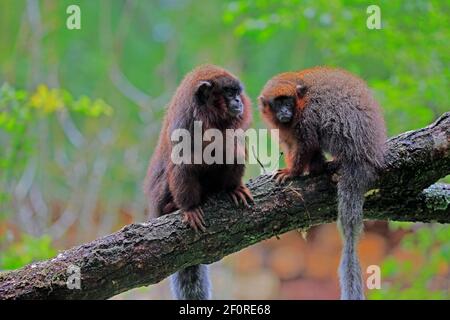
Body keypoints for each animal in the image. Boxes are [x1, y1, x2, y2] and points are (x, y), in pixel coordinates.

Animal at [144, 63, 253, 298]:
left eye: (237, 93)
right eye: (229, 93)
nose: (238, 101)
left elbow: (234, 148)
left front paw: (234, 188)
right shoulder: (185, 125)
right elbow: (181, 164)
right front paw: (189, 208)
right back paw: (172, 206)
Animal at [258, 67, 384, 300]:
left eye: (288, 102)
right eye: (278, 104)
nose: (285, 112)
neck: (301, 102)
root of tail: (365, 154)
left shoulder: (307, 116)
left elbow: (306, 142)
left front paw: (292, 172)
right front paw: (312, 167)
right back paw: (319, 167)